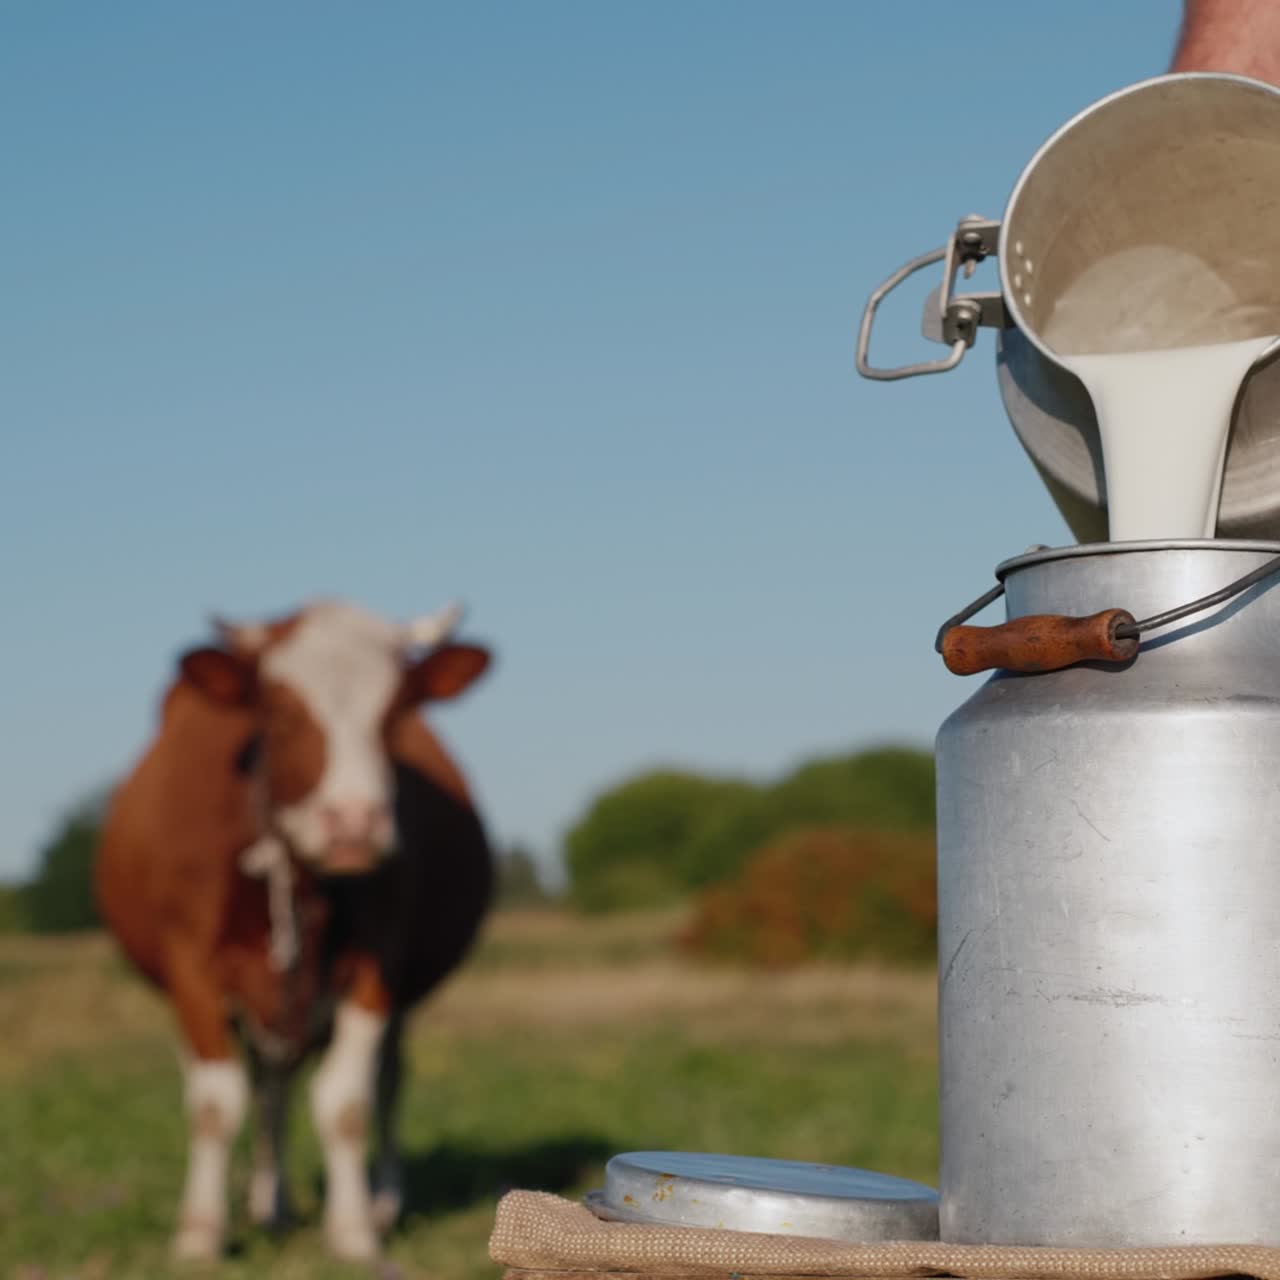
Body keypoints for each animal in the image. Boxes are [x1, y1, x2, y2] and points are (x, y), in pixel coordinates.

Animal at [95, 599, 494, 1262]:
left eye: (397, 713)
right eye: (279, 712)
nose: (354, 823)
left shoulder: (377, 964)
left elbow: (347, 1103)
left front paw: (354, 1231)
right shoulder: (191, 966)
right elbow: (215, 1103)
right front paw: (200, 1234)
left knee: (383, 1082)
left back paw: (376, 1203)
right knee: (265, 1089)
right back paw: (268, 1205)